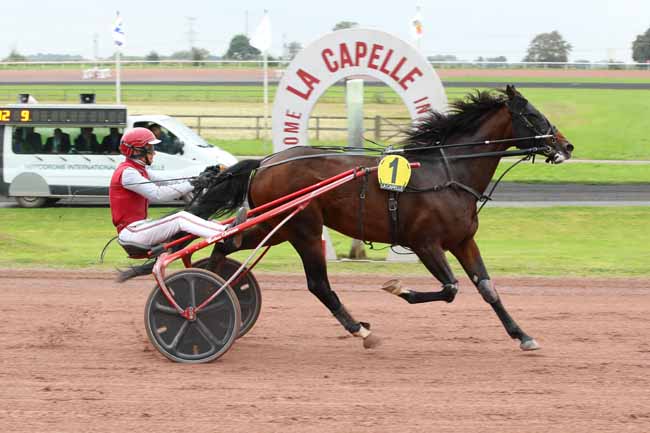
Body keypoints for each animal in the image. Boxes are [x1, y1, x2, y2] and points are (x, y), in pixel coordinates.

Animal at [187, 84, 572, 352]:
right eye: (533, 116)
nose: (567, 146)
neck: (447, 172)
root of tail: (265, 162)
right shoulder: (425, 243)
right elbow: (450, 288)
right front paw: (399, 288)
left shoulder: (463, 240)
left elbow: (488, 289)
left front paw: (523, 336)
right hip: (304, 229)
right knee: (318, 284)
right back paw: (360, 330)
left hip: (276, 226)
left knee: (226, 245)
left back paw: (212, 293)